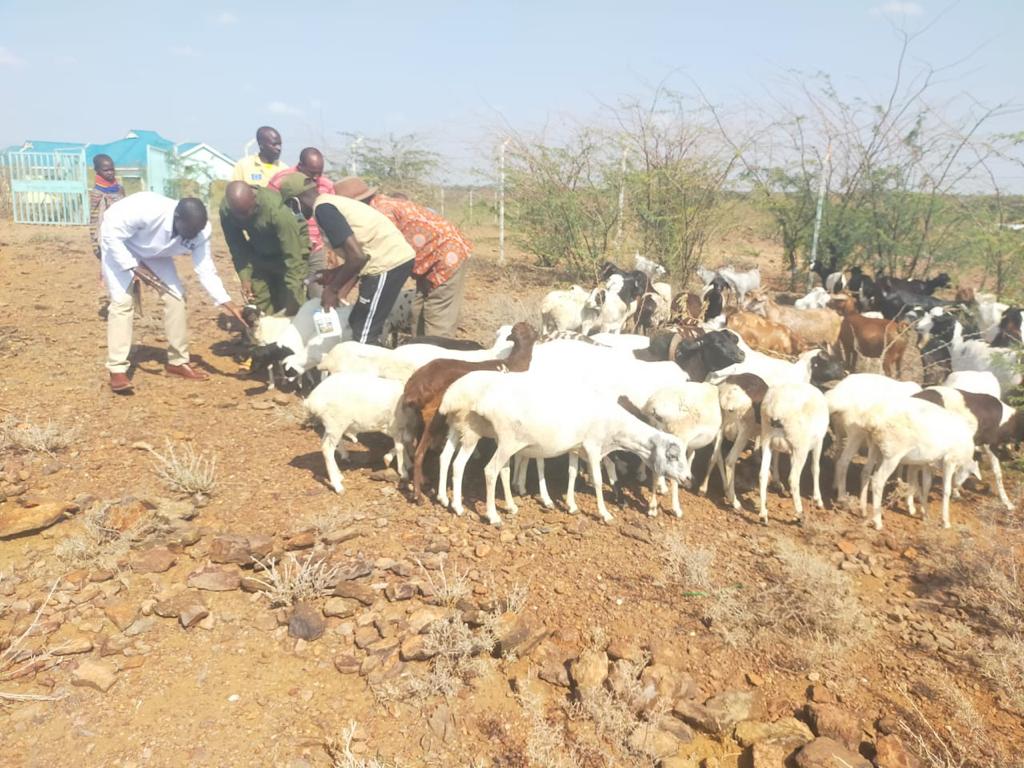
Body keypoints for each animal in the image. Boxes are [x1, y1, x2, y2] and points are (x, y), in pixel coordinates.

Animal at [401, 319, 540, 505]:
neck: (512, 364)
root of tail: (414, 389)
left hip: (419, 419)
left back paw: (423, 481)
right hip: (434, 419)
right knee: (419, 453)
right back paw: (419, 495)